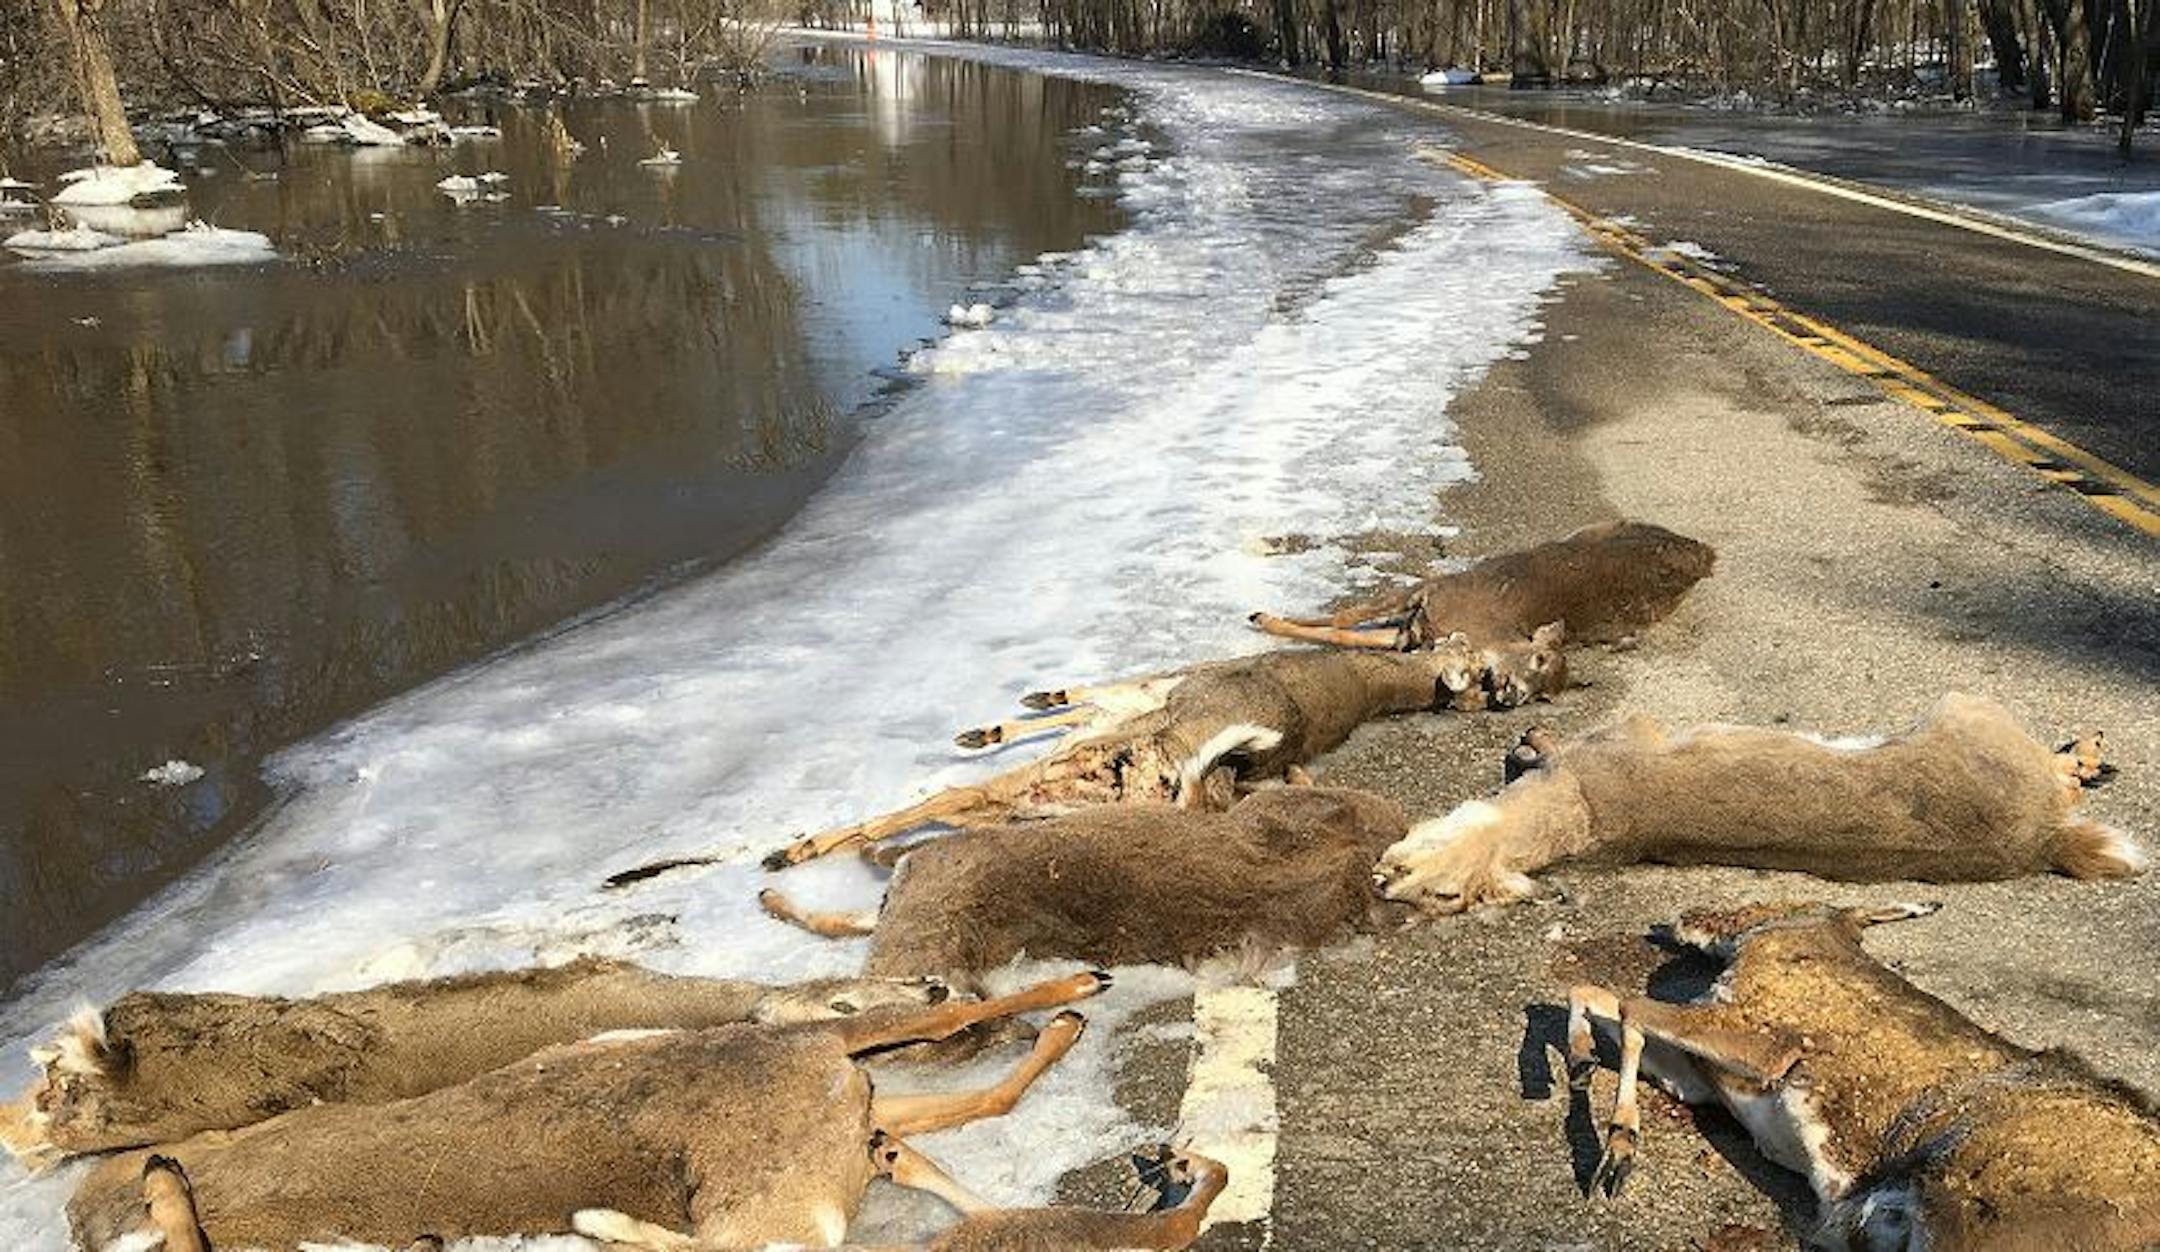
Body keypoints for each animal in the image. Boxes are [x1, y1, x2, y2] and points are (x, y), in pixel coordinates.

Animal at [1373, 692, 2144, 915]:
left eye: (1418, 874)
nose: (1379, 876)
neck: (1583, 817)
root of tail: (2042, 841)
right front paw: (1531, 741)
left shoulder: (1624, 732)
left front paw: (1528, 740)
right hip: (1971, 711)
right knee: (2064, 773)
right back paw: (2087, 750)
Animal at [1563, 901, 2160, 1249]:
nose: (1672, 920)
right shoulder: (1706, 1076)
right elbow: (1598, 1000)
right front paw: (1583, 1065)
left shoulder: (1767, 1044)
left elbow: (1625, 1007)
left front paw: (1616, 1149)